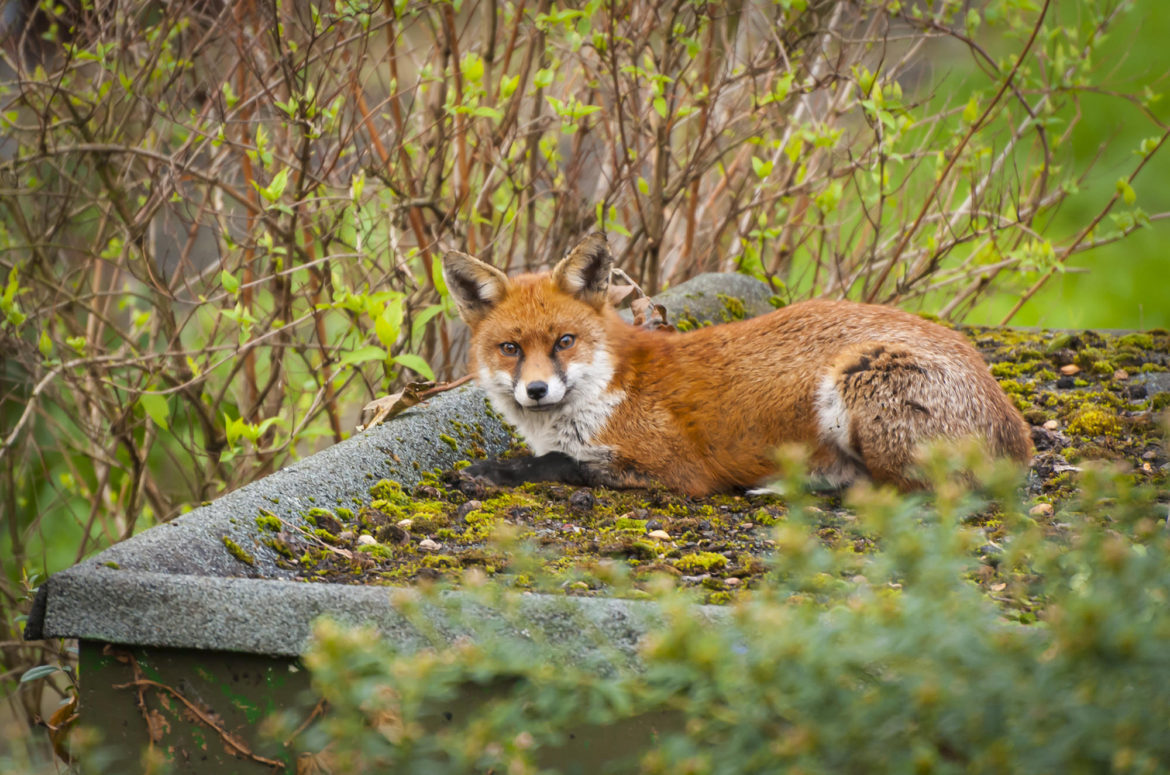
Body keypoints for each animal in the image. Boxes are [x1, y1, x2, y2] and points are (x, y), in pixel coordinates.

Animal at [442, 232, 1032, 497]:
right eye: (511, 349)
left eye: (564, 341)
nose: (537, 390)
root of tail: (1018, 430)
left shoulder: (674, 467)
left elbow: (559, 463)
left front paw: (493, 471)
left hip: (858, 380)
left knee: (906, 491)